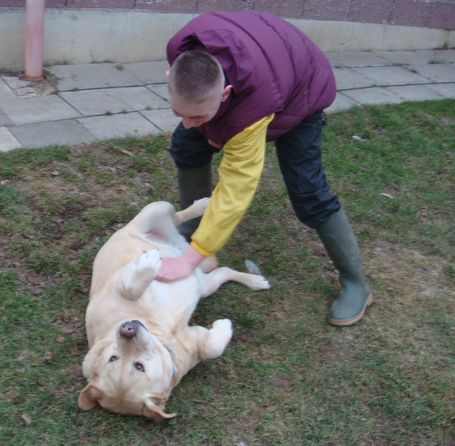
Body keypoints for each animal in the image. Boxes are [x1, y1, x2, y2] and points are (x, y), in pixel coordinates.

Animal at [78, 199, 270, 422]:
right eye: (115, 359)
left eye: (138, 366)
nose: (127, 329)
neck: (163, 335)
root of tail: (179, 244)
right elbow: (212, 349)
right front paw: (224, 326)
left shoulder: (118, 284)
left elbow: (132, 287)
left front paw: (148, 264)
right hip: (205, 284)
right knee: (222, 271)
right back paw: (254, 280)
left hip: (156, 209)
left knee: (177, 216)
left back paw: (202, 206)